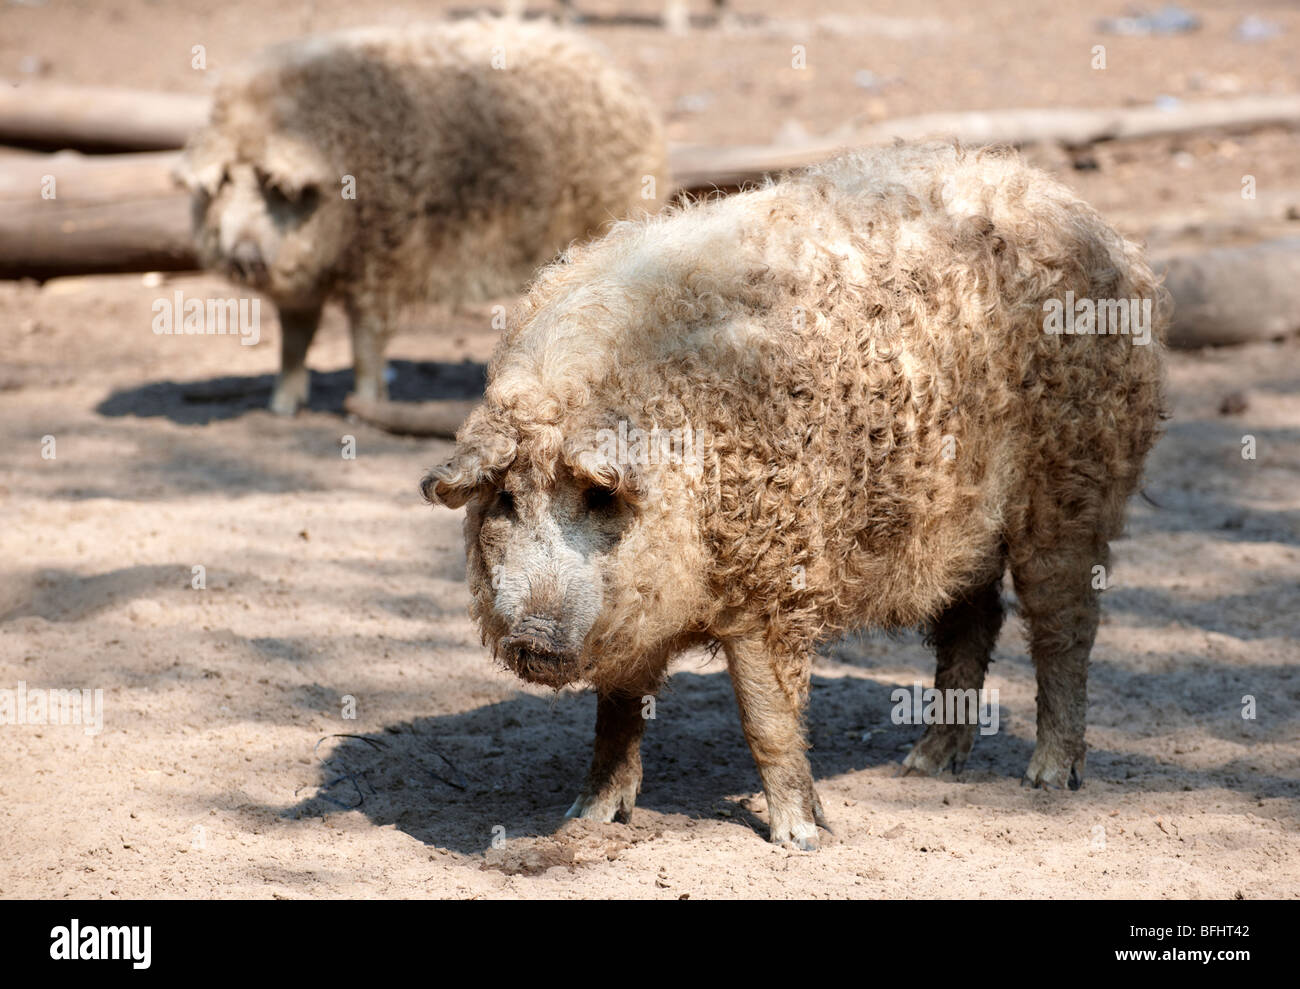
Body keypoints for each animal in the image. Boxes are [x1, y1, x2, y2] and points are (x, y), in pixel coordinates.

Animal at [176, 19, 665, 413]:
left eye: (273, 186)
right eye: (222, 184)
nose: (245, 255)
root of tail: (620, 80)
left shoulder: (380, 258)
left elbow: (366, 339)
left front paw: (365, 405)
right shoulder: (301, 287)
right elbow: (295, 339)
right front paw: (281, 408)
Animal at [423, 142, 1170, 847]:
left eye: (597, 499)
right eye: (506, 502)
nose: (533, 633)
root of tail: (1087, 217)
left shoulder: (775, 580)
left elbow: (768, 716)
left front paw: (802, 838)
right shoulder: (632, 613)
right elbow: (617, 712)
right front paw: (589, 815)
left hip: (1075, 486)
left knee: (1064, 627)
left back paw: (1048, 778)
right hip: (958, 524)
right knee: (974, 618)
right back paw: (924, 766)